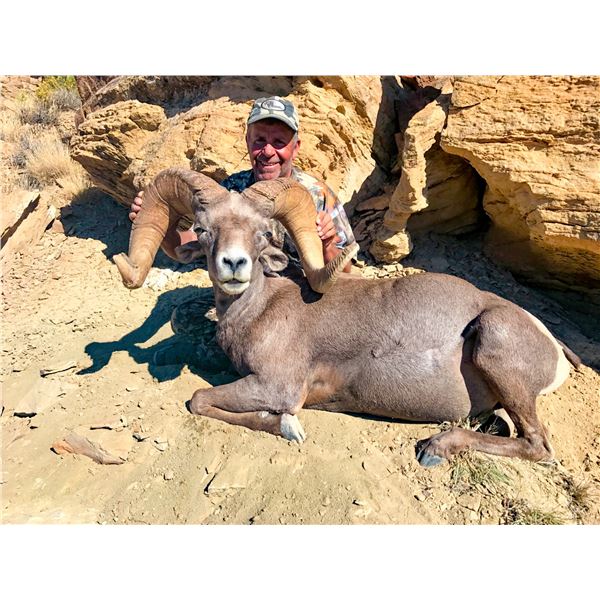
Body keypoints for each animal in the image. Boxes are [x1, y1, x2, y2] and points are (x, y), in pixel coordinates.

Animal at [114, 168, 581, 466]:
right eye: (204, 230)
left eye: (263, 233)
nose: (233, 265)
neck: (260, 313)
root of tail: (553, 347)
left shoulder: (276, 386)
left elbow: (199, 399)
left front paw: (287, 426)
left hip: (495, 345)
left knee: (538, 447)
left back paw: (435, 448)